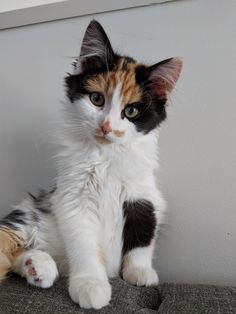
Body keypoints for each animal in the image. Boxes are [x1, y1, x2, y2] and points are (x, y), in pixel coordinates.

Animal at [0, 19, 183, 310]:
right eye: (97, 99)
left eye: (131, 111)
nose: (107, 126)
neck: (105, 157)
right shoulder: (73, 200)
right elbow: (86, 249)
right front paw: (91, 285)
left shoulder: (144, 198)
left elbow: (142, 240)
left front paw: (140, 272)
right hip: (28, 216)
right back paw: (40, 265)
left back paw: (37, 267)